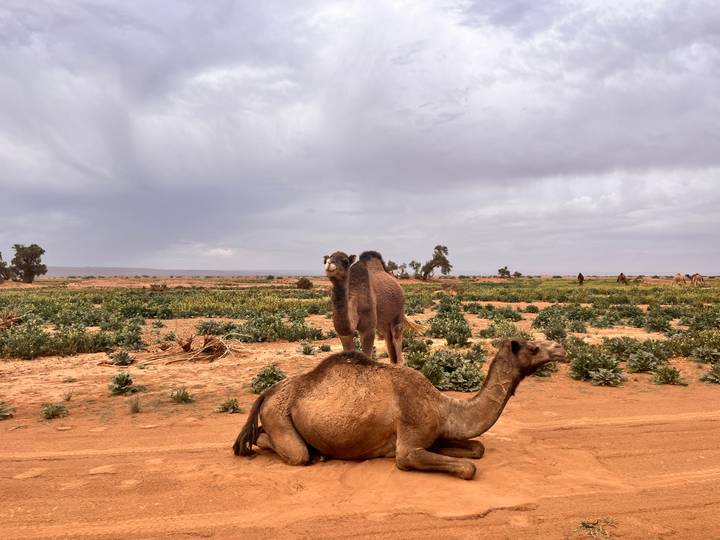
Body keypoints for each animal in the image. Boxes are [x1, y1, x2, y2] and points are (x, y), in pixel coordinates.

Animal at [233, 339, 565, 479]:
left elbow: (478, 448)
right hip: (278, 415)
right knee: (290, 450)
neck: (444, 406)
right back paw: (311, 454)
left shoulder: (432, 434)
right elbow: (468, 468)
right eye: (532, 347)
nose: (560, 347)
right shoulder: (408, 446)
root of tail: (267, 392)